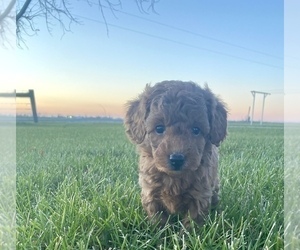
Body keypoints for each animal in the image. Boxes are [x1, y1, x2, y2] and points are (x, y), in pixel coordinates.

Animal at [124, 80, 227, 229]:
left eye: (196, 130)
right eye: (159, 128)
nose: (176, 159)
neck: (174, 178)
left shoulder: (200, 194)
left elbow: (192, 223)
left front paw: (188, 235)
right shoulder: (151, 193)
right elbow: (158, 219)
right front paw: (160, 233)